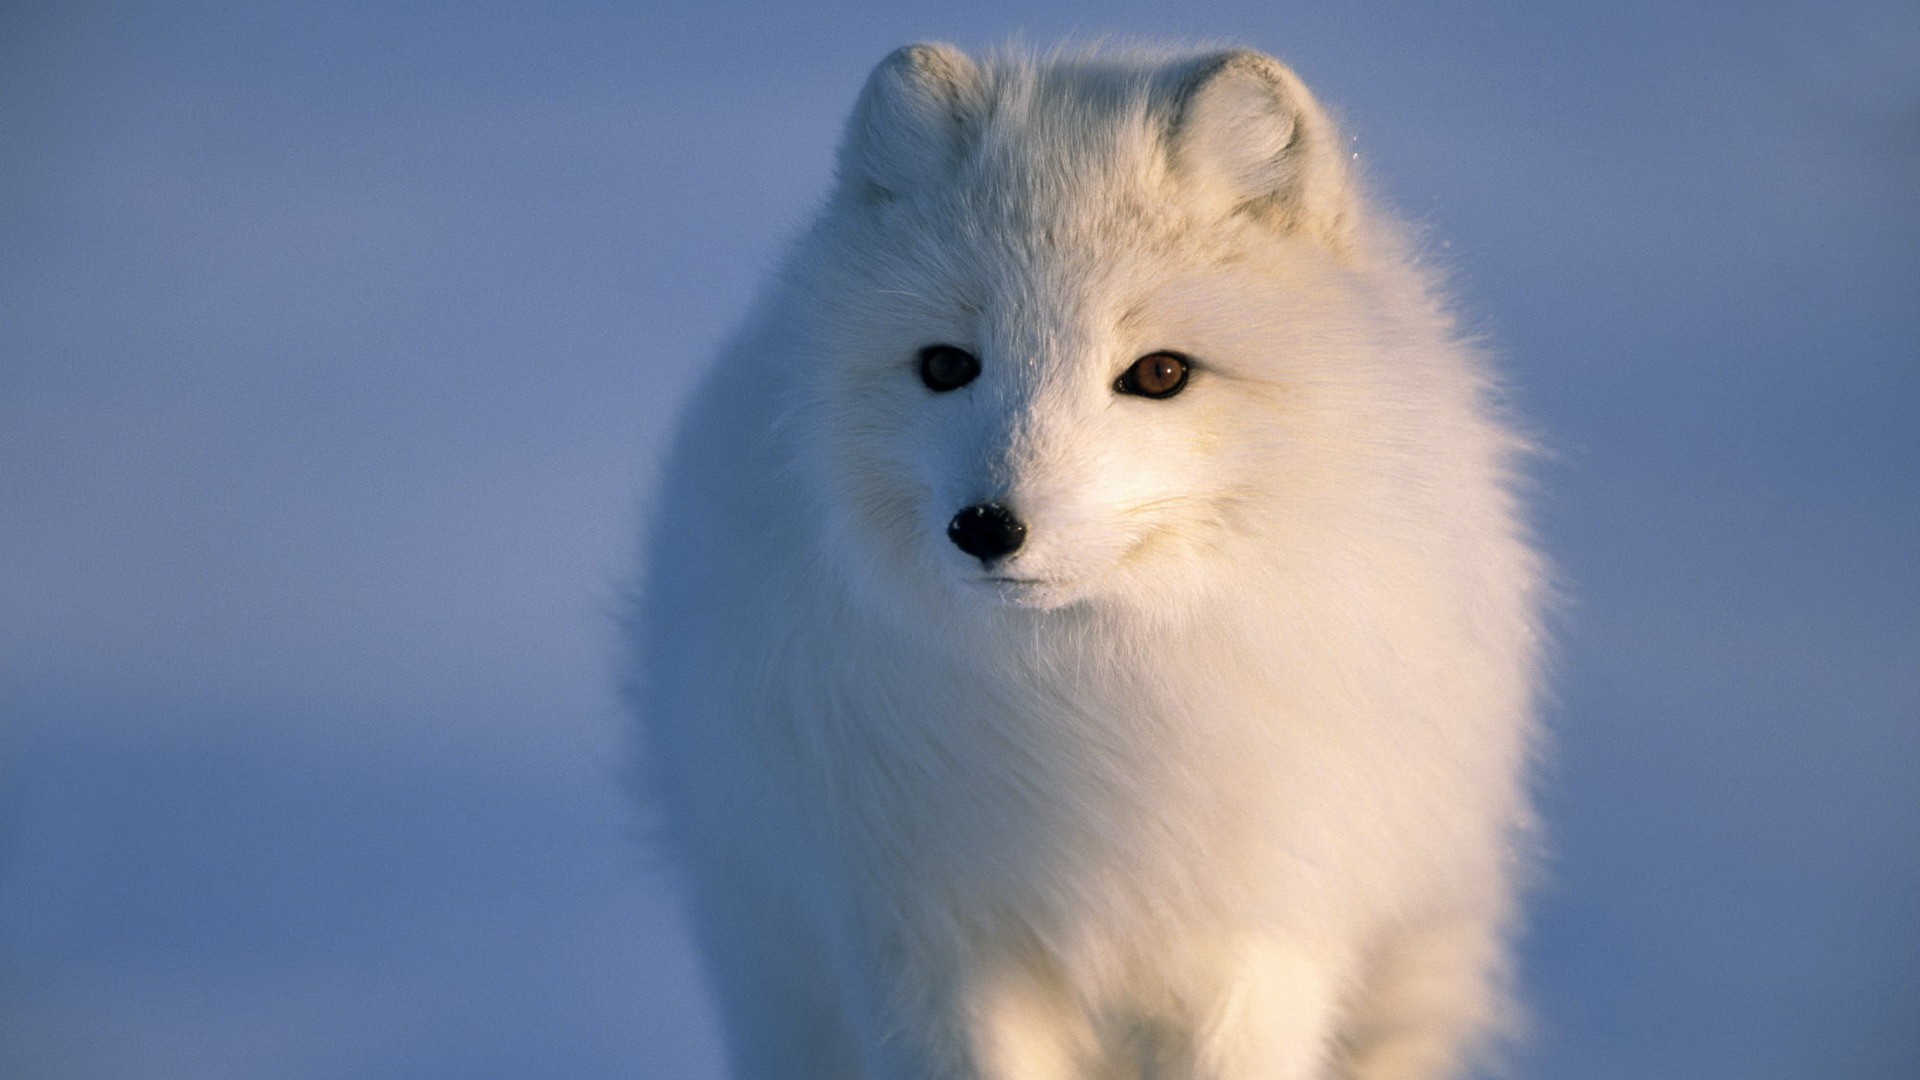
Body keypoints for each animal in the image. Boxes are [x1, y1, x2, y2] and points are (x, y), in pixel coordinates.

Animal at [627, 42, 1547, 1080]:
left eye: (1160, 373)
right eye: (946, 365)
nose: (987, 527)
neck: (1095, 697)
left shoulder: (1257, 941)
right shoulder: (933, 946)